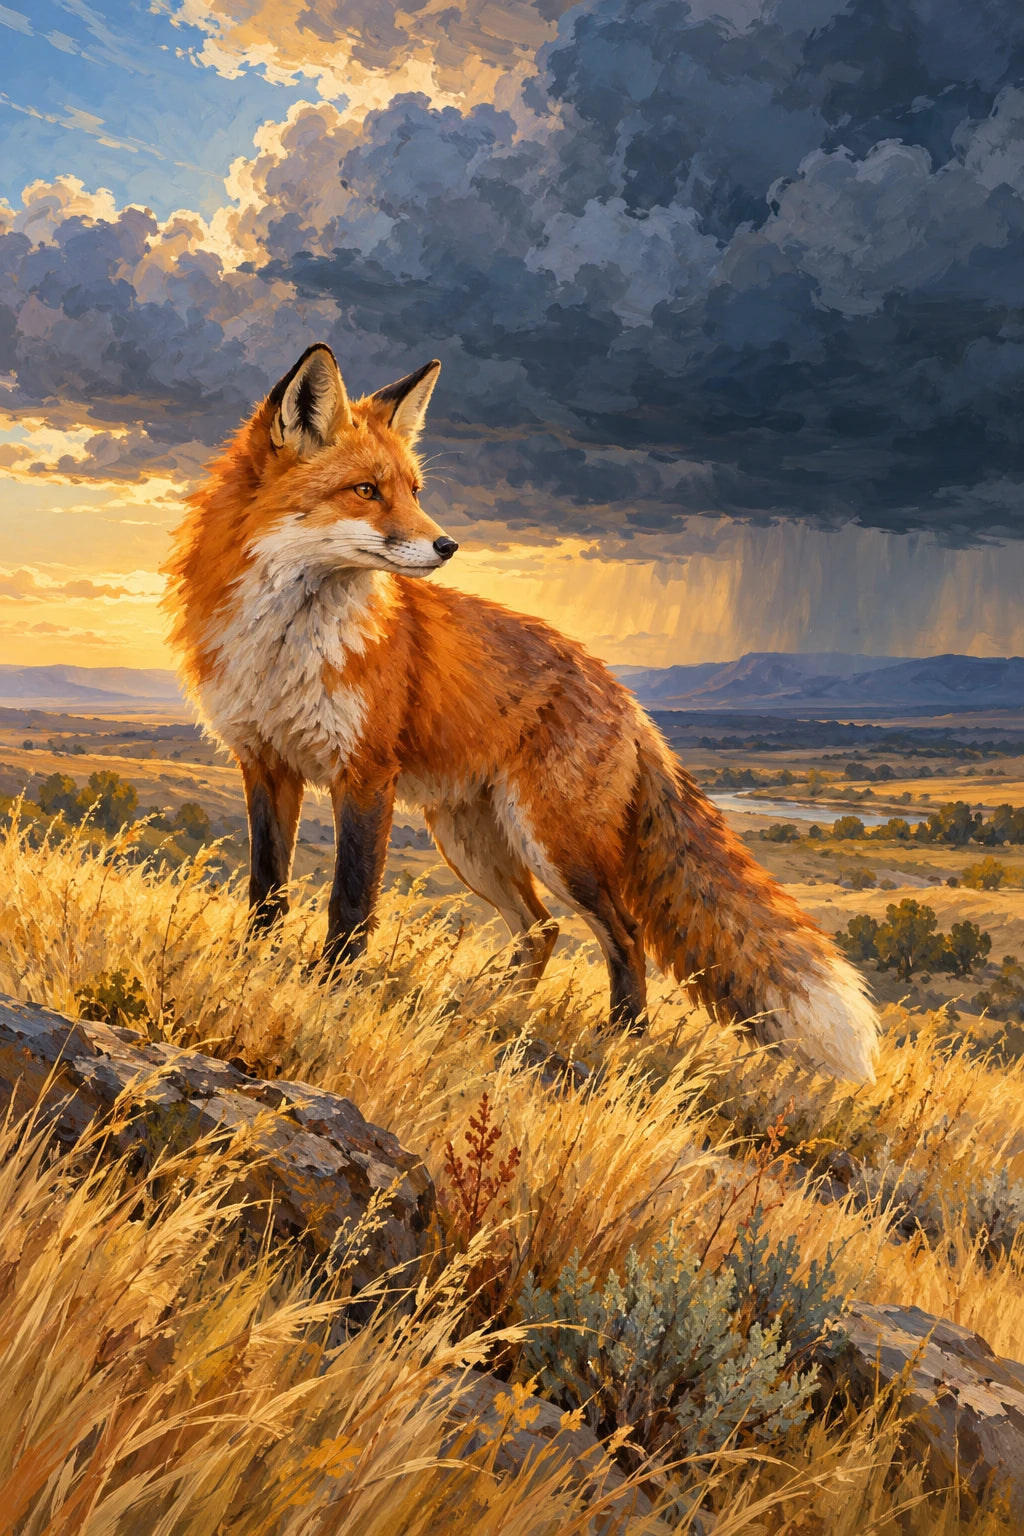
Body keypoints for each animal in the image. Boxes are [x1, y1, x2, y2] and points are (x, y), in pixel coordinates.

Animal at [164, 342, 879, 1083]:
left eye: (414, 490)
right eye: (366, 490)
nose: (448, 546)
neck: (285, 643)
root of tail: (624, 696)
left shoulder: (364, 774)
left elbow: (351, 900)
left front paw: (332, 992)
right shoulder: (265, 763)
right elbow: (267, 889)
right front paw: (252, 968)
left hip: (555, 842)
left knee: (622, 935)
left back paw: (620, 1039)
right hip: (470, 840)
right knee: (541, 929)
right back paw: (490, 1011)